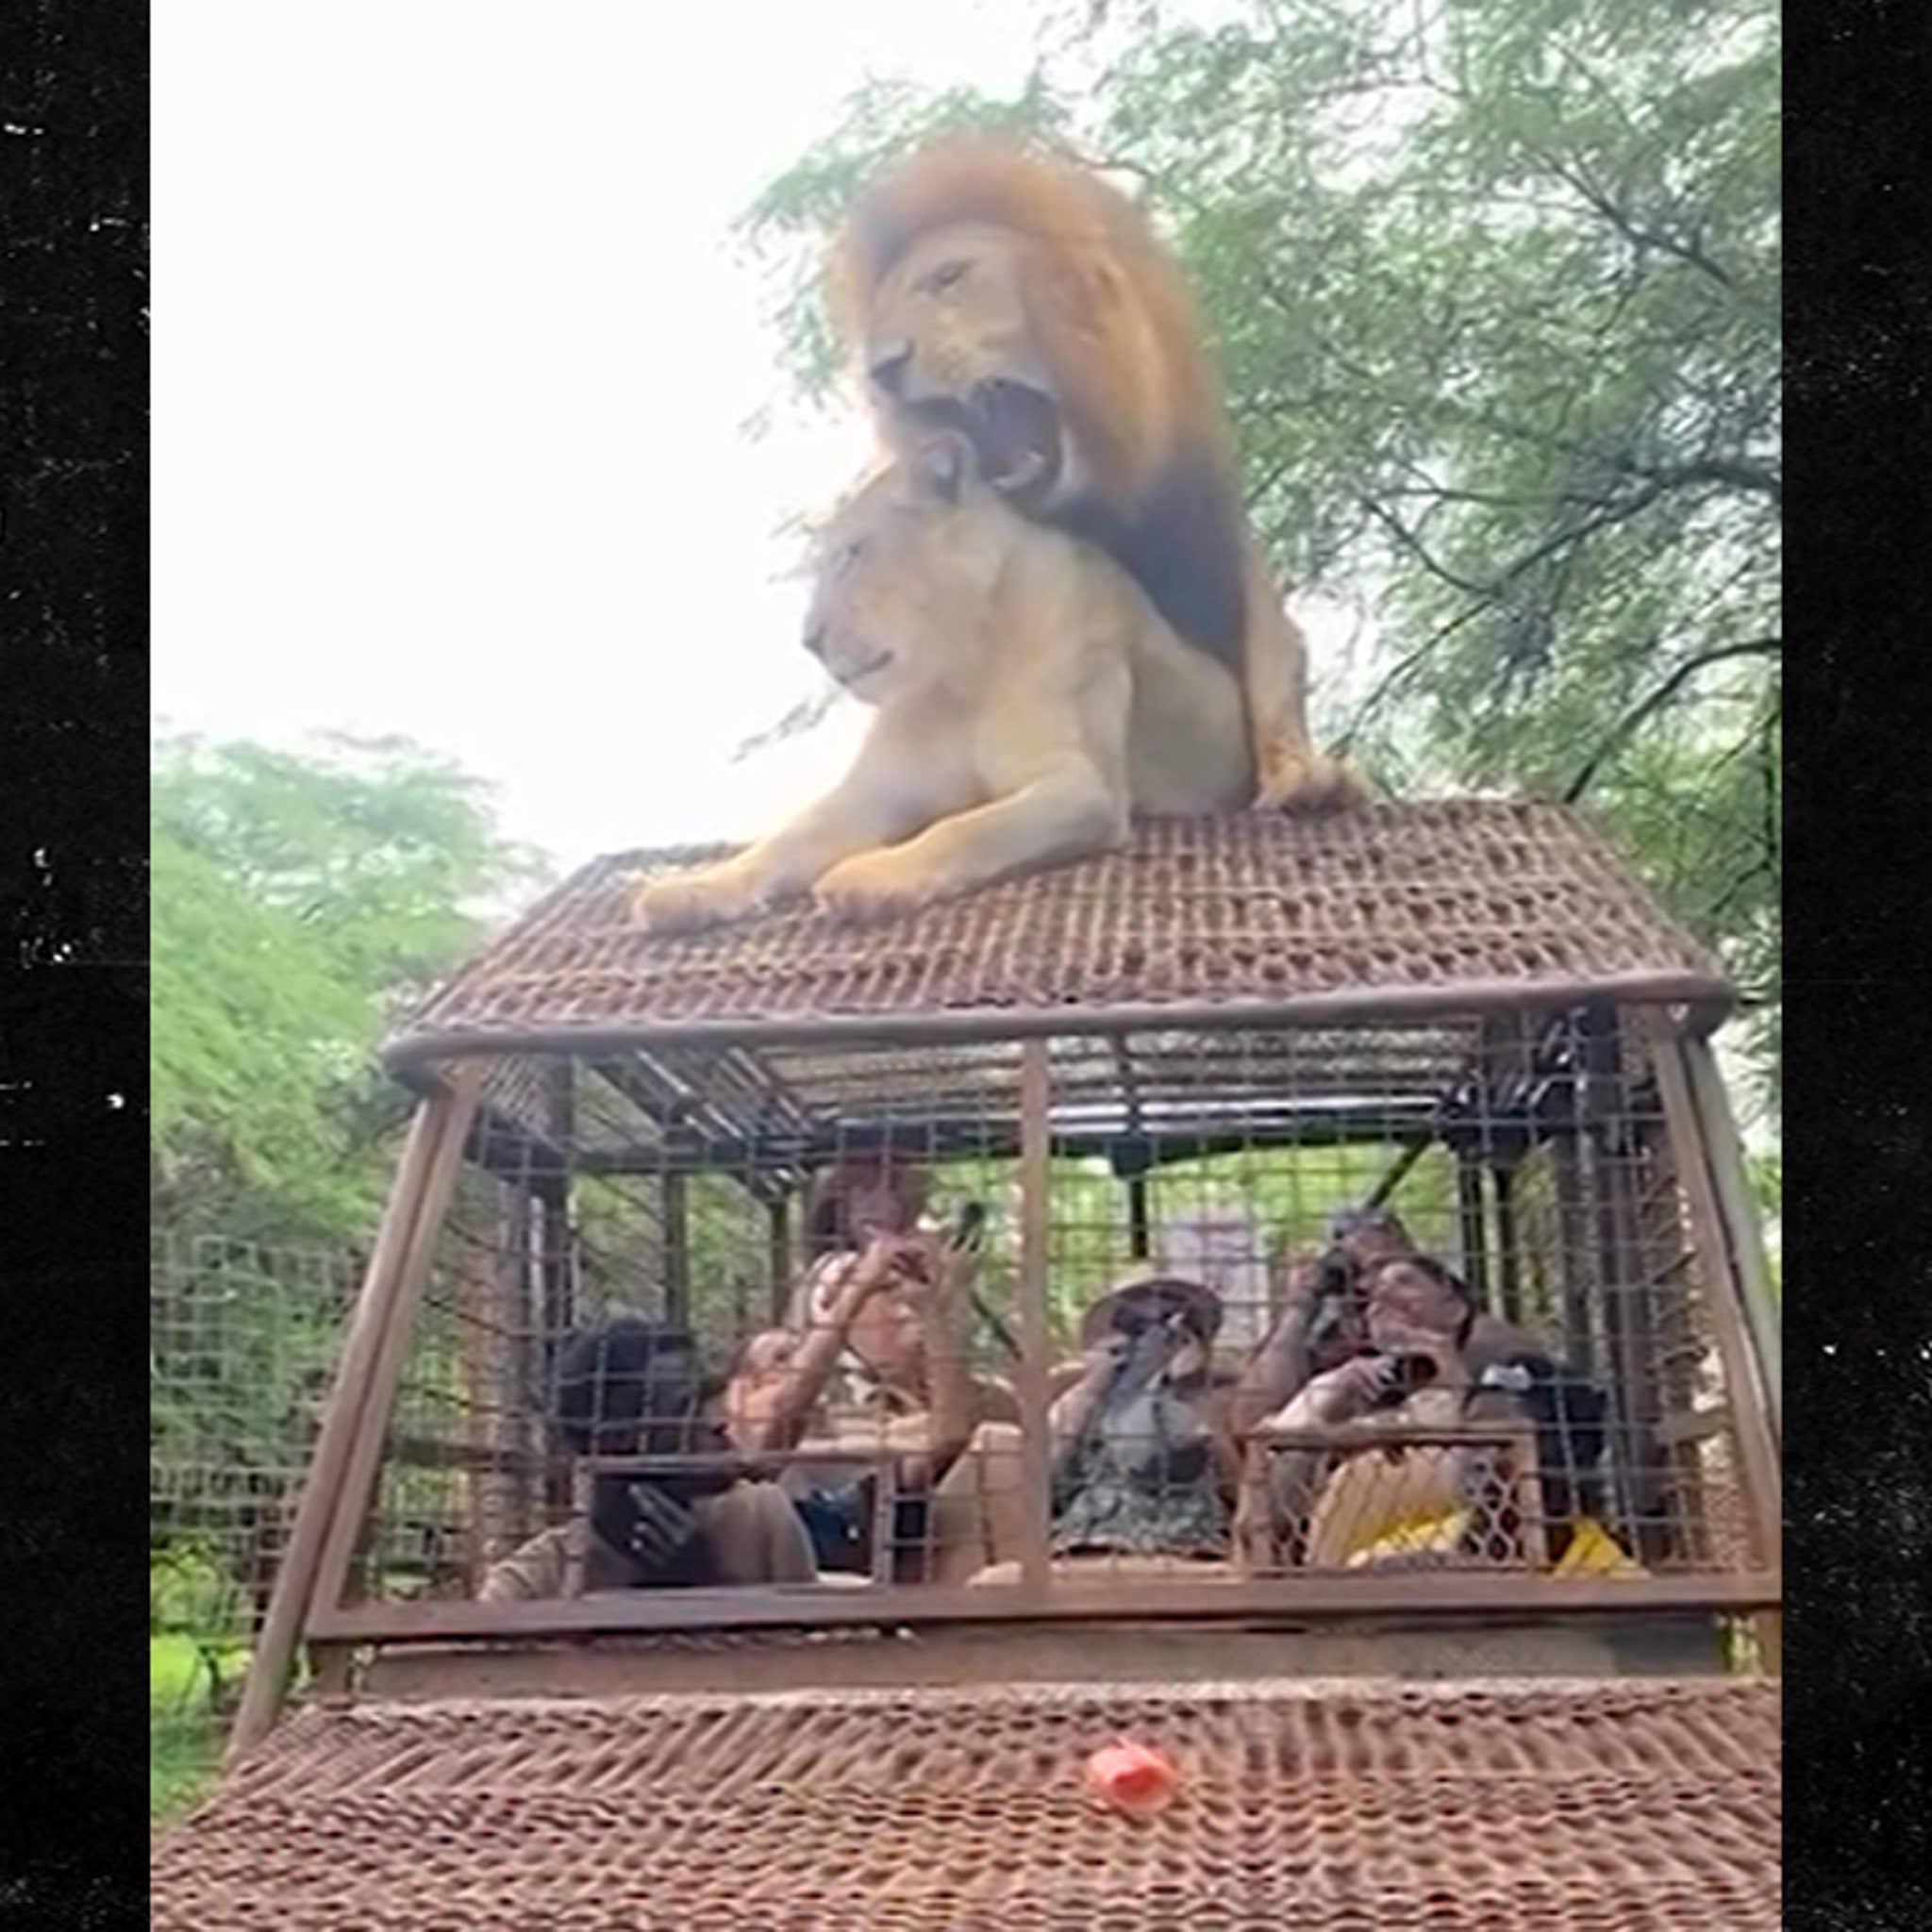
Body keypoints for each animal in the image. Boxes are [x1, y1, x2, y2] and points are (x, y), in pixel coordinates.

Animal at [625, 434, 1243, 931]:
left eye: (851, 554)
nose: (808, 639)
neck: (960, 673)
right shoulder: (876, 792)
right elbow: (785, 840)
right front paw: (693, 888)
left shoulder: (1080, 784)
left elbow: (966, 829)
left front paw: (870, 878)